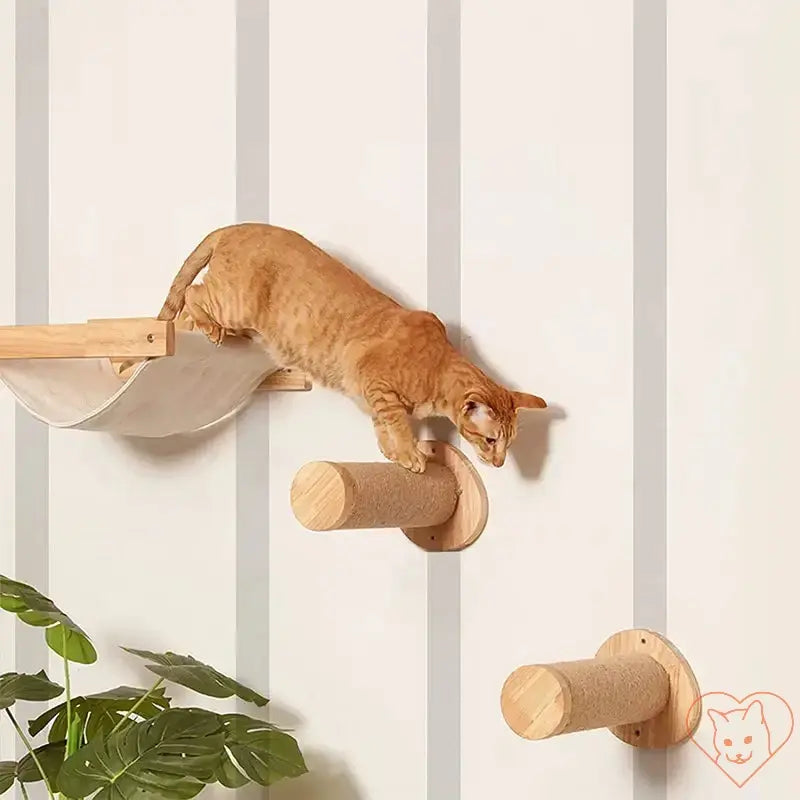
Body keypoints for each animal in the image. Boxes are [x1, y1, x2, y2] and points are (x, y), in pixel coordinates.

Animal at [154, 222, 548, 472]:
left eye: (508, 444)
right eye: (492, 440)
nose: (499, 463)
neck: (436, 367)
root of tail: (235, 226)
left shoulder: (371, 394)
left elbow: (381, 423)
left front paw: (392, 455)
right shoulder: (376, 378)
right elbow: (398, 422)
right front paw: (410, 455)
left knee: (187, 307)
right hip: (236, 303)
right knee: (193, 294)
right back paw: (209, 329)